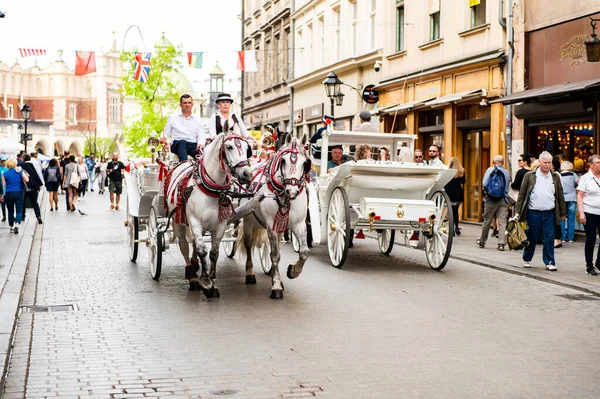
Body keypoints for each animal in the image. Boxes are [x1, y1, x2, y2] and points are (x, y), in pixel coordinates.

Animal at [165, 130, 254, 298]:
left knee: (194, 243)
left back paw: (195, 266)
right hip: (178, 221)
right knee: (184, 247)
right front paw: (206, 284)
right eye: (229, 146)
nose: (247, 174)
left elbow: (213, 252)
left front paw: (212, 280)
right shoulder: (194, 221)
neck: (212, 189)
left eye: (247, 149)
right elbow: (202, 250)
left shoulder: (220, 224)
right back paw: (192, 276)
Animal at [236, 135, 310, 300]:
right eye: (283, 161)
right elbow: (275, 255)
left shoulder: (298, 225)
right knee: (249, 244)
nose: (291, 191)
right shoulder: (271, 226)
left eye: (305, 163)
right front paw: (276, 285)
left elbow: (304, 252)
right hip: (248, 221)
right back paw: (250, 273)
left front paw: (293, 271)